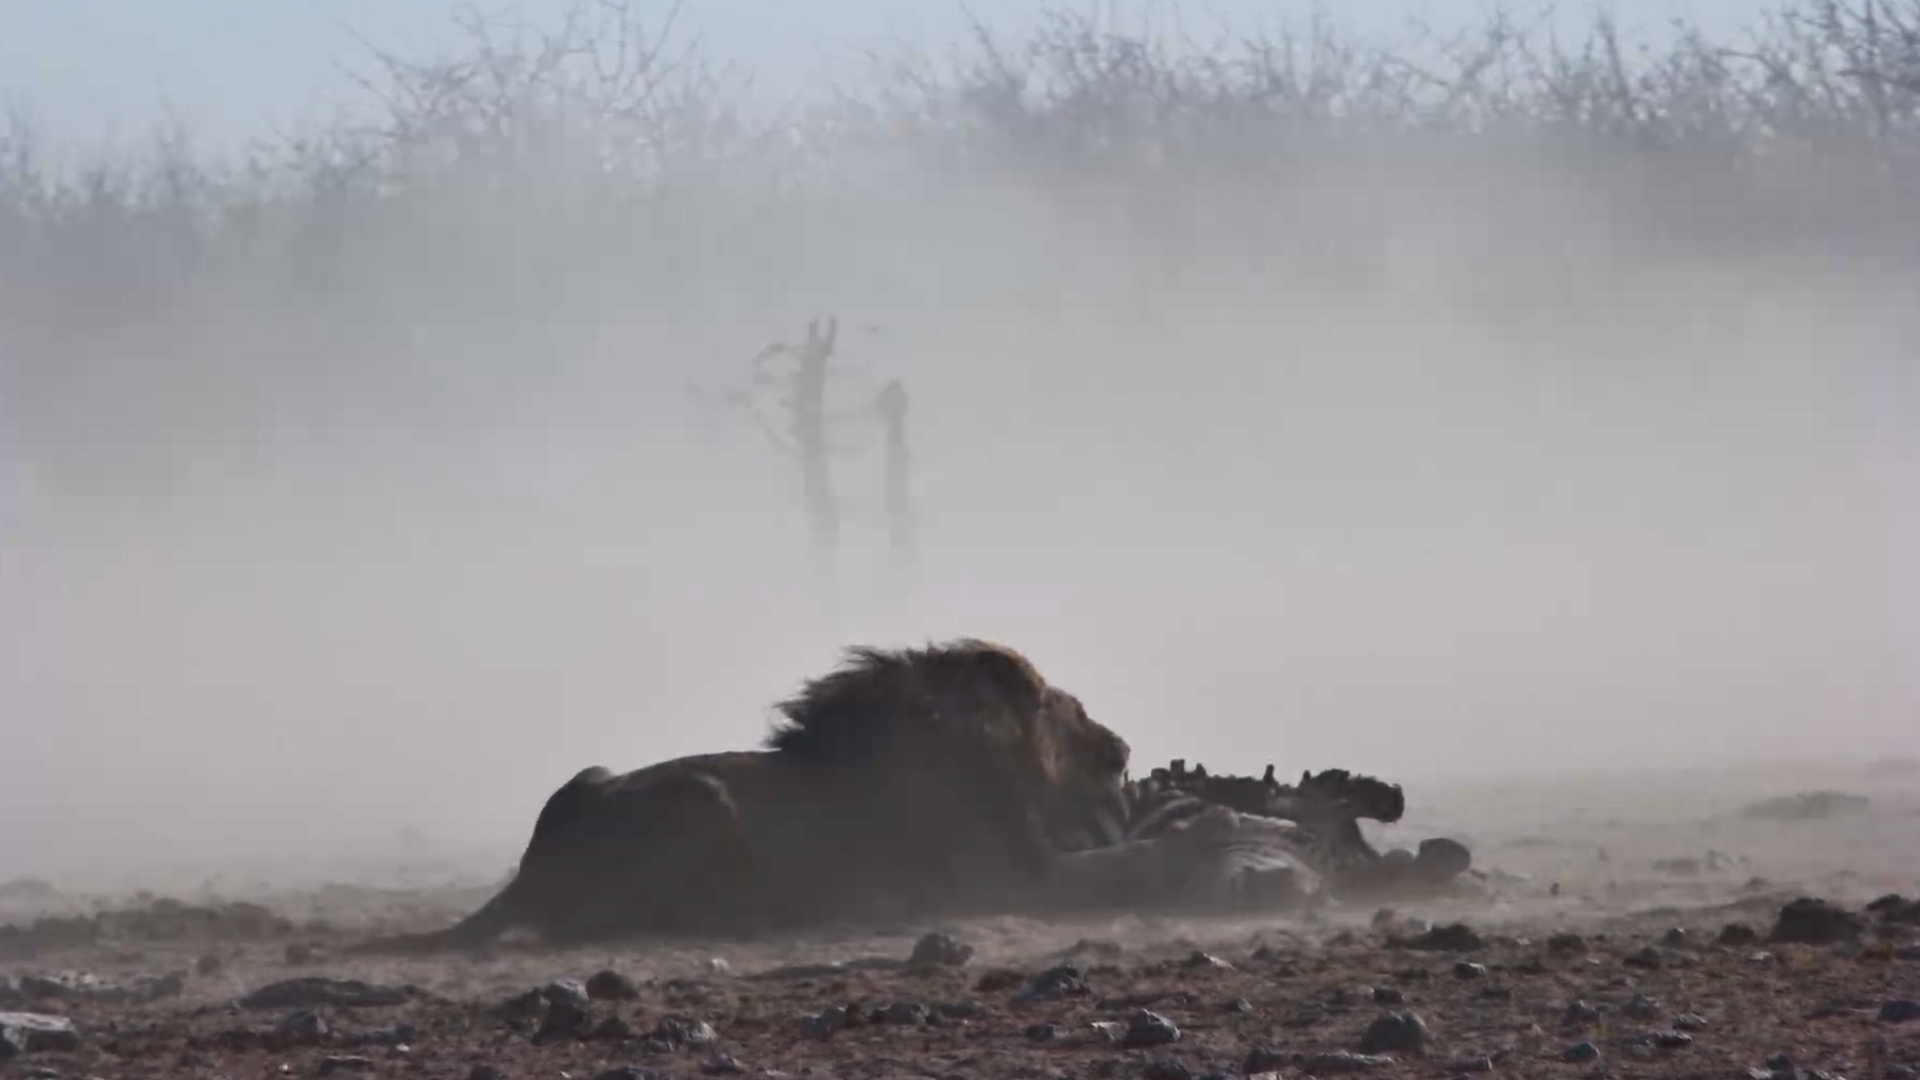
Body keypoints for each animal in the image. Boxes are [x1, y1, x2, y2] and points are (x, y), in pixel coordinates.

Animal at [354, 639, 1134, 951]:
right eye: (1066, 708)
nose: (1123, 752)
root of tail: (534, 868)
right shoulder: (989, 880)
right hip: (699, 798)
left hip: (590, 774)